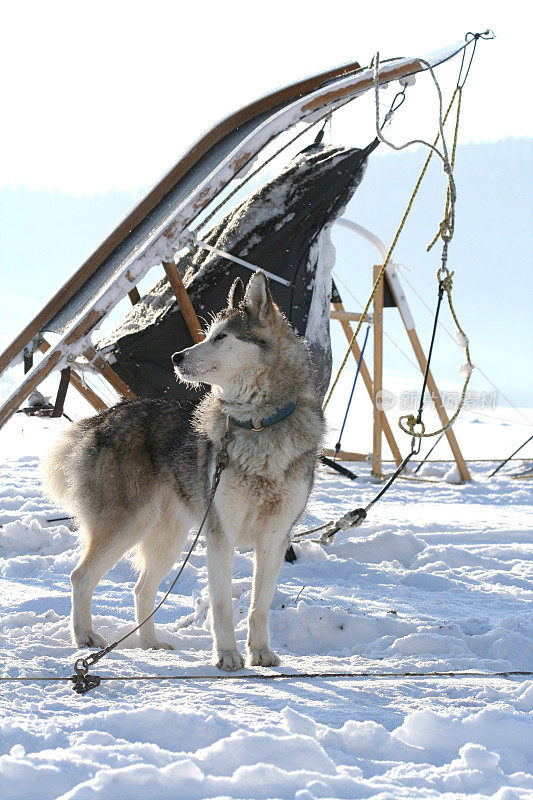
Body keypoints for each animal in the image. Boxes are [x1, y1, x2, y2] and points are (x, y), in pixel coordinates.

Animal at [41, 272, 324, 672]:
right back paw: (85, 638)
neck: (258, 426)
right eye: (207, 334)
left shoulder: (275, 538)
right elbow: (222, 606)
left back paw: (150, 644)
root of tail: (106, 415)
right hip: (126, 526)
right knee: (80, 577)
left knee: (141, 589)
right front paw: (227, 656)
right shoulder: (221, 536)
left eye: (221, 337)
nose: (176, 356)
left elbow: (260, 606)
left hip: (168, 539)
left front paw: (261, 654)